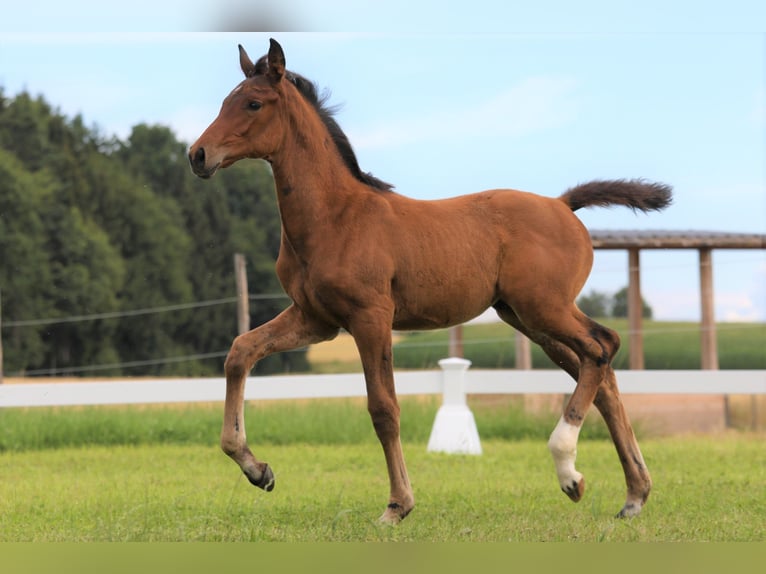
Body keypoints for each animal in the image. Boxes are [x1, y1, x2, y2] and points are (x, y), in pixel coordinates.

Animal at [188, 38, 672, 525]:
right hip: (525, 317)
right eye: (225, 101)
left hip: (544, 308)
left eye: (253, 103)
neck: (335, 217)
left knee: (601, 346)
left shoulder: (370, 317)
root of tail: (561, 204)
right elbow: (240, 352)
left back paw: (570, 472)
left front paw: (397, 505)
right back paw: (633, 494)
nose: (198, 155)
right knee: (600, 373)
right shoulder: (316, 319)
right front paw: (258, 470)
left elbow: (383, 409)